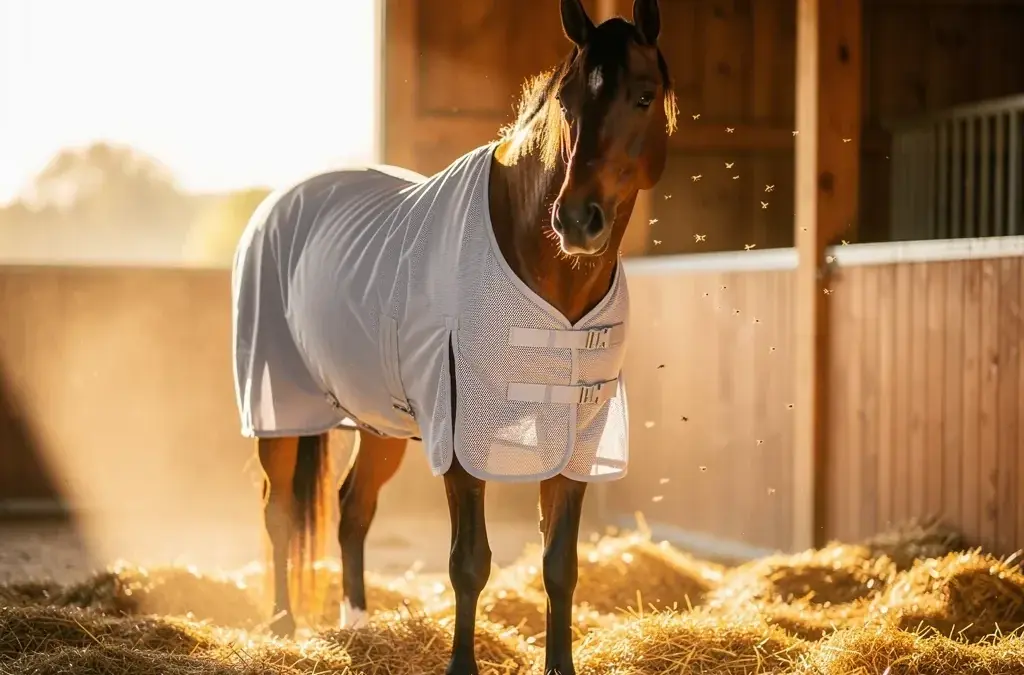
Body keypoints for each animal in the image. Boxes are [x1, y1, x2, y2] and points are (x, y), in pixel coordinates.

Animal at [230, 1, 676, 673]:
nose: (577, 220)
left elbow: (559, 565)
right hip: (278, 408)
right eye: (566, 102)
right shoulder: (462, 438)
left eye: (644, 96)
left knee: (353, 509)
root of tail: (279, 204)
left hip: (378, 421)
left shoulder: (576, 435)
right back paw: (283, 624)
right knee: (278, 511)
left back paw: (358, 624)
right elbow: (469, 564)